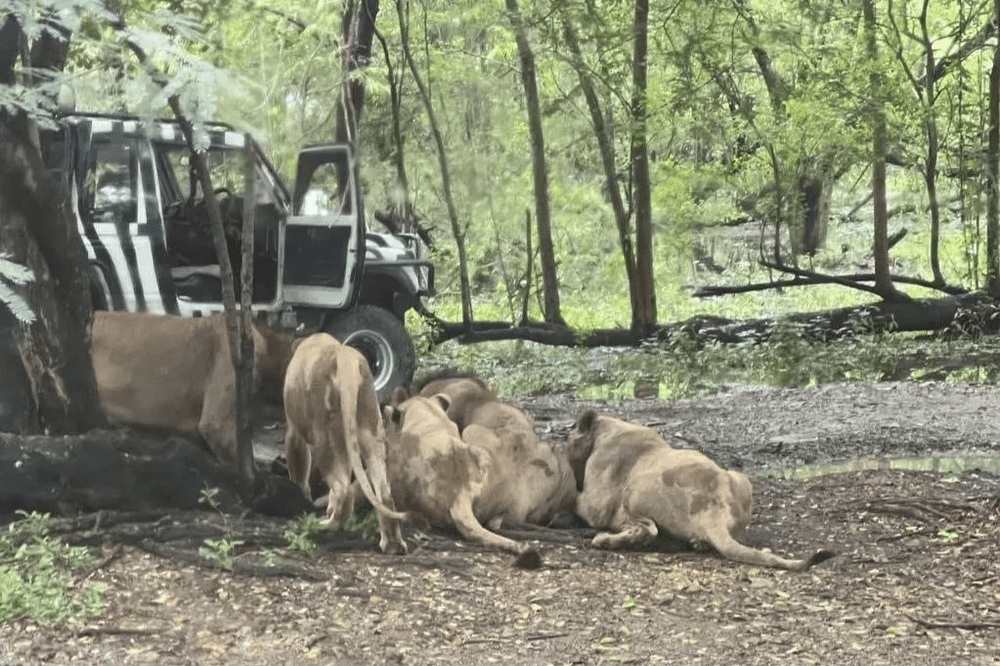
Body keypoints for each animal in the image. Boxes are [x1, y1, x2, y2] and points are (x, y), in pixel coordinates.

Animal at [283, 333, 407, 554]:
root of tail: (345, 357)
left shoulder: (294, 431)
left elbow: (299, 469)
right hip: (370, 430)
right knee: (384, 493)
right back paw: (392, 544)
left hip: (325, 437)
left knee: (343, 488)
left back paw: (327, 525)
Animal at [567, 410, 835, 570]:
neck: (610, 429)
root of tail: (716, 511)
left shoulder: (595, 504)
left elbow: (578, 500)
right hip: (739, 479)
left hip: (638, 487)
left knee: (648, 530)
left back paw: (604, 540)